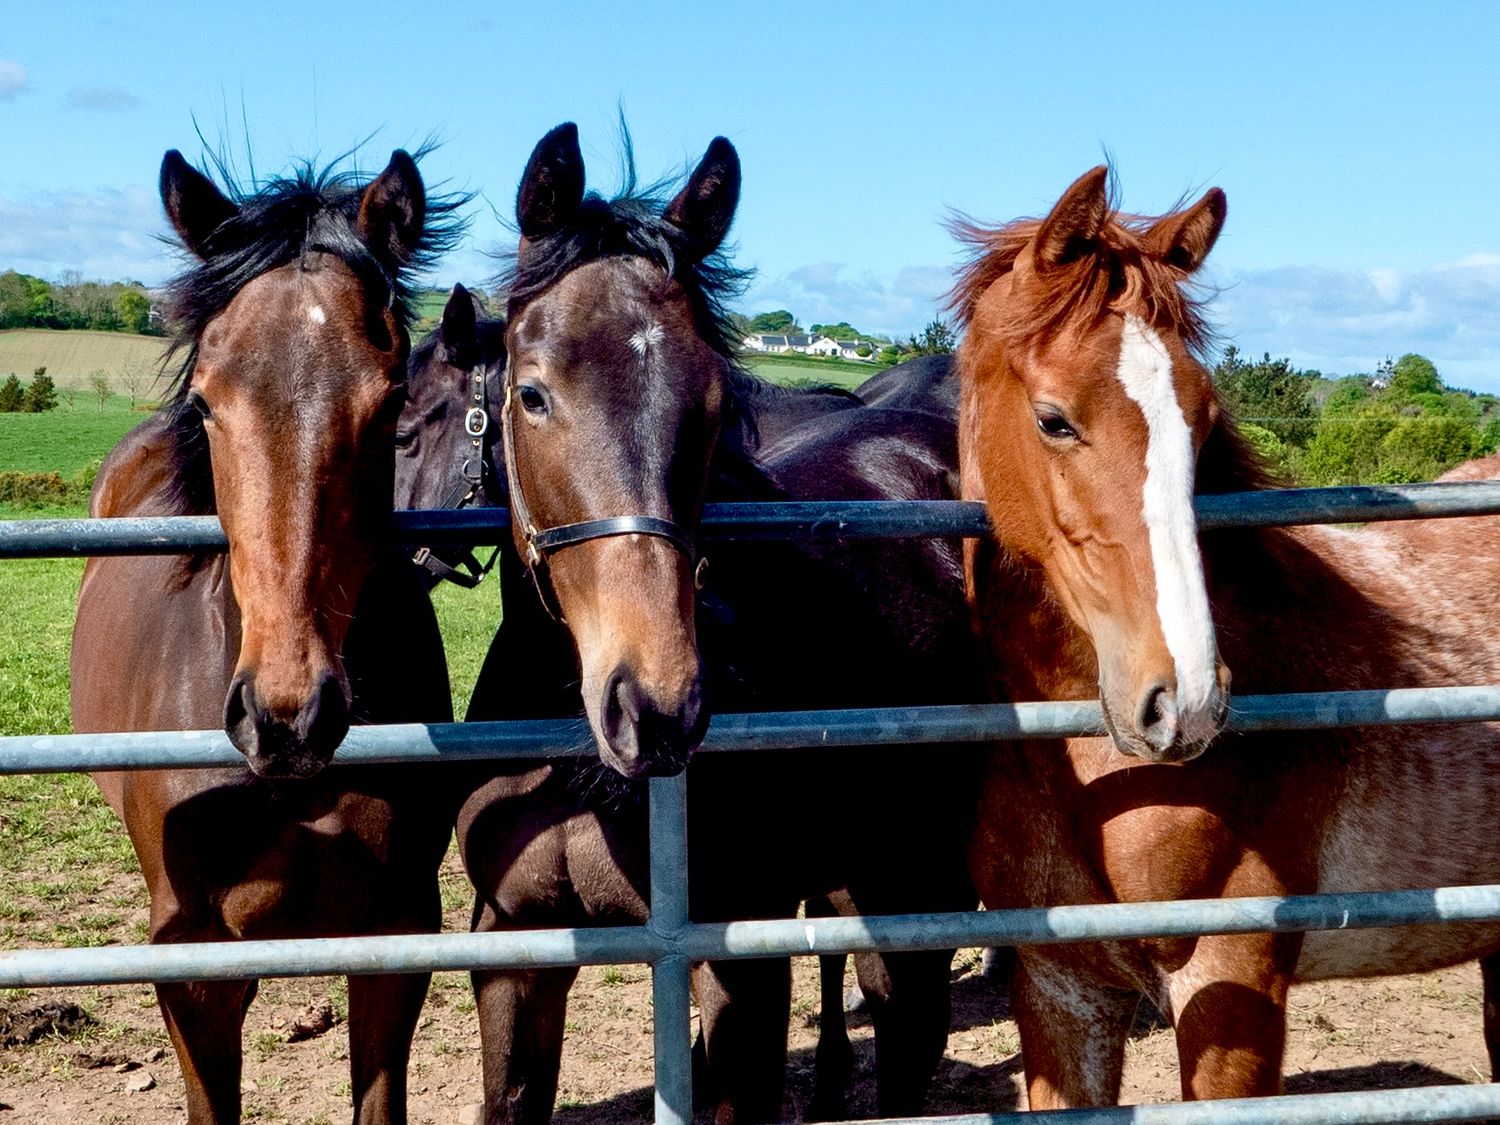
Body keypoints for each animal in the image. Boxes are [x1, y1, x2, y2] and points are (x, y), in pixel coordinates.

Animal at [437, 122, 981, 1123]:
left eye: (717, 402)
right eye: (531, 392)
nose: (655, 706)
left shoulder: (738, 970)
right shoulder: (514, 948)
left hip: (917, 873)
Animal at [954, 164, 1500, 1108]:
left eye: (1202, 419)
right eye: (1055, 419)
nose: (1187, 701)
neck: (1091, 784)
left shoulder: (1231, 980)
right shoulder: (1061, 989)